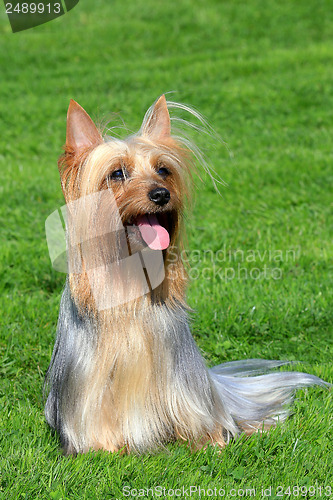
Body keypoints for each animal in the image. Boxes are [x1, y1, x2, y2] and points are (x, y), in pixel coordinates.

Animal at [44, 95, 326, 456]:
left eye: (163, 170)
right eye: (117, 173)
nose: (161, 194)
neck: (130, 277)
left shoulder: (183, 378)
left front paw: (209, 442)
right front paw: (105, 446)